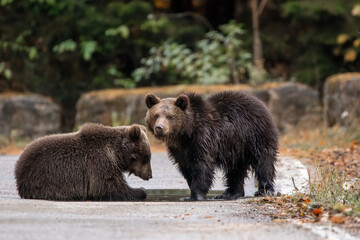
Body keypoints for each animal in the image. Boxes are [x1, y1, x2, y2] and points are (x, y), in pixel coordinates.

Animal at [14, 124, 150, 201]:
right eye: (147, 157)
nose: (149, 175)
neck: (116, 153)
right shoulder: (100, 162)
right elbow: (108, 185)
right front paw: (140, 191)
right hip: (45, 178)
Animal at [146, 91, 278, 201]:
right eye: (156, 115)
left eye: (170, 116)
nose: (159, 128)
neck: (186, 133)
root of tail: (261, 104)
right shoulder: (180, 150)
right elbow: (186, 168)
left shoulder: (204, 138)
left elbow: (202, 165)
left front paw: (195, 196)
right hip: (236, 147)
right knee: (236, 170)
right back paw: (229, 194)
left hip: (255, 134)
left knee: (263, 161)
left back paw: (264, 190)